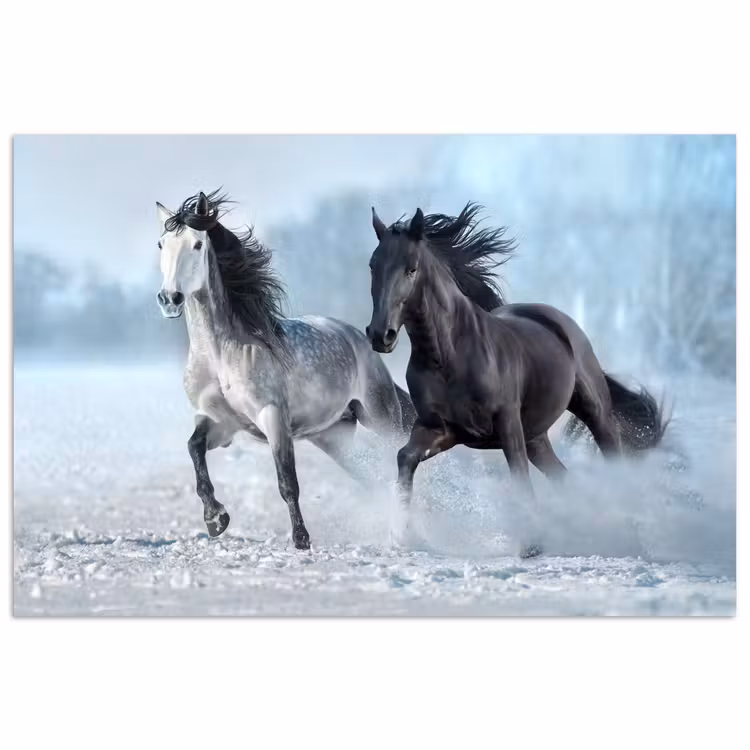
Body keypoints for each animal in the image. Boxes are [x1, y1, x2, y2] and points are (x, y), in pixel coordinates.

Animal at [155, 190, 415, 549]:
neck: (221, 356)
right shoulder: (220, 423)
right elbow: (194, 450)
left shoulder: (273, 418)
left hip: (381, 418)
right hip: (333, 436)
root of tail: (358, 339)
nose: (170, 299)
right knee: (372, 477)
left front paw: (301, 539)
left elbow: (287, 481)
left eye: (196, 244)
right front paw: (216, 519)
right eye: (161, 244)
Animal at [365, 202, 666, 557]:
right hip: (536, 436)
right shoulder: (440, 429)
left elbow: (519, 477)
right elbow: (405, 457)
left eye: (411, 269)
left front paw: (532, 545)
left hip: (594, 412)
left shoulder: (507, 424)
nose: (380, 335)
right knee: (562, 477)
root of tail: (559, 321)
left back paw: (629, 538)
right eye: (373, 266)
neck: (449, 356)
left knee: (611, 459)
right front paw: (401, 534)